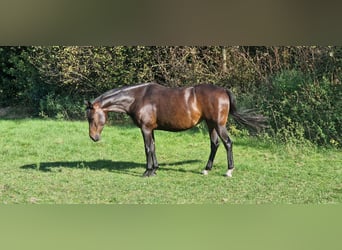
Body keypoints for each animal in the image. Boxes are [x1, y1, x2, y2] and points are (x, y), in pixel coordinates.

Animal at [85, 83, 264, 177]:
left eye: (91, 118)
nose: (93, 137)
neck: (137, 98)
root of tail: (223, 91)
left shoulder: (145, 129)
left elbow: (147, 148)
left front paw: (147, 171)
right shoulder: (151, 129)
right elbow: (153, 147)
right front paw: (155, 169)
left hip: (218, 125)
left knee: (227, 143)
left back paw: (229, 170)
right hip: (210, 124)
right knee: (215, 144)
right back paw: (206, 169)